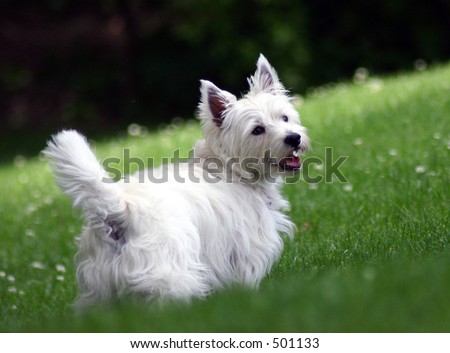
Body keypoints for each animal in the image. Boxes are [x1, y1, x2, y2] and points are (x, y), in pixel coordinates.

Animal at [44, 54, 308, 306]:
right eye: (257, 130)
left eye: (284, 117)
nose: (294, 138)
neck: (231, 169)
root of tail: (119, 210)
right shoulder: (248, 248)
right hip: (169, 273)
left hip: (99, 290)